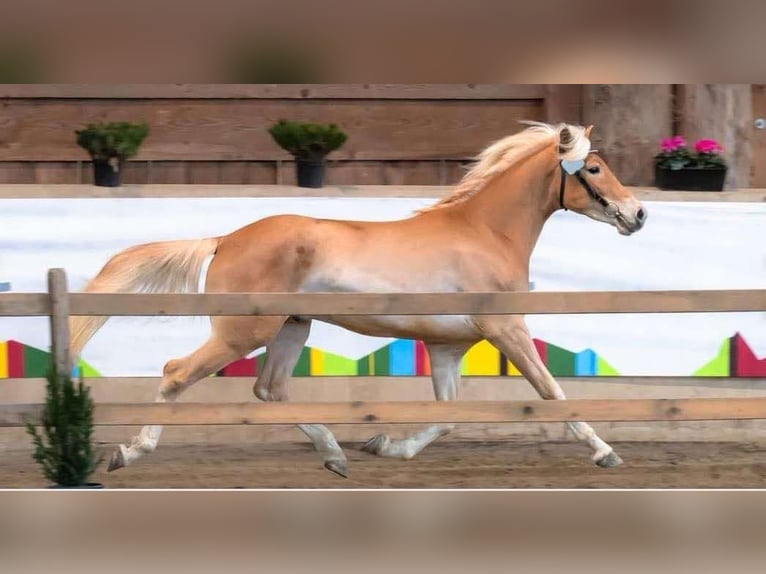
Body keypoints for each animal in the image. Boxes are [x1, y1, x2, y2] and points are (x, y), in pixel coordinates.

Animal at [72, 122, 648, 482]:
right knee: (176, 373)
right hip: (243, 331)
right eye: (594, 169)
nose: (638, 214)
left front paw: (386, 446)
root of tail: (225, 239)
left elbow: (448, 416)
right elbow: (553, 393)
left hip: (292, 327)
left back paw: (335, 456)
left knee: (270, 390)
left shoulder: (447, 346)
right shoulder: (506, 329)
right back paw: (128, 451)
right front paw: (606, 453)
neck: (485, 233)